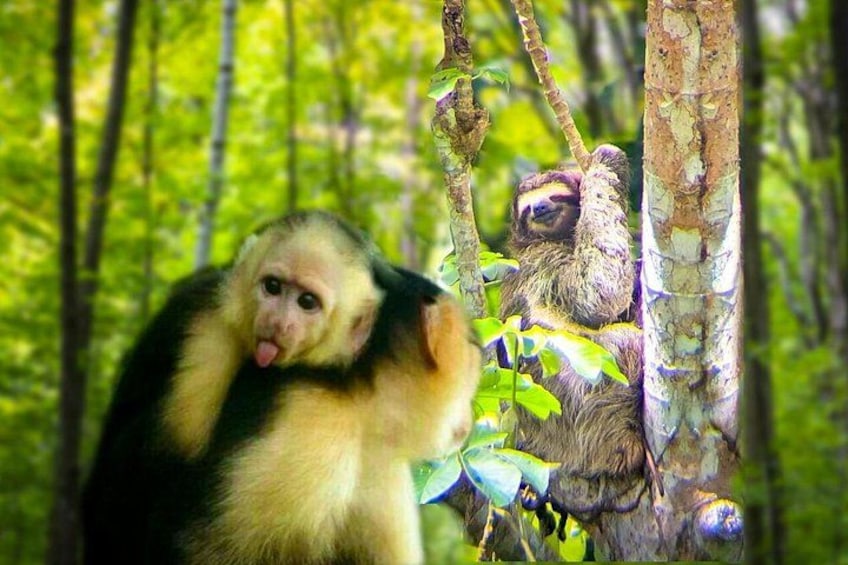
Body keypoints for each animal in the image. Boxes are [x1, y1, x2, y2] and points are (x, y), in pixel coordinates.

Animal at [500, 144, 646, 520]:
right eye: (527, 208)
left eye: (554, 196)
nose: (539, 208)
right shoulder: (546, 265)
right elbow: (598, 292)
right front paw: (607, 159)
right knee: (625, 344)